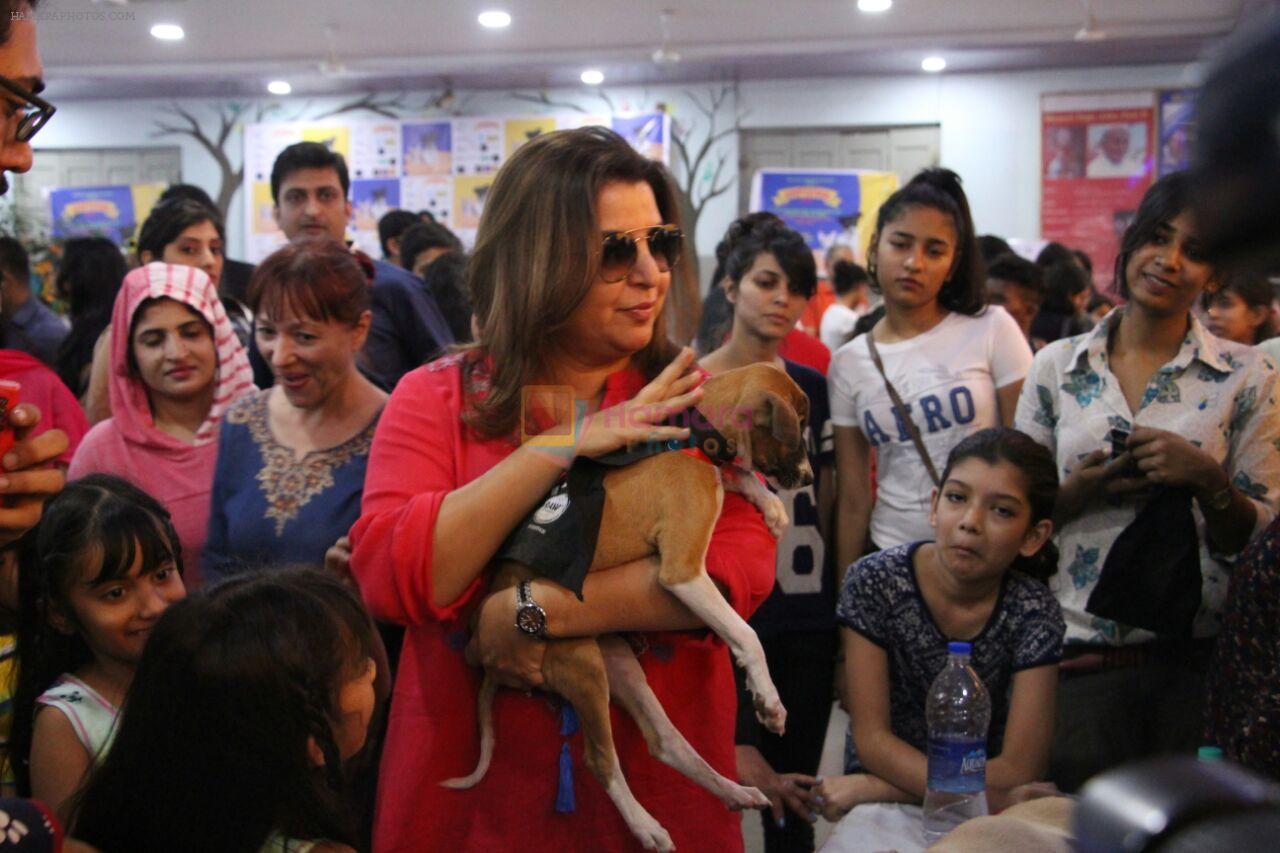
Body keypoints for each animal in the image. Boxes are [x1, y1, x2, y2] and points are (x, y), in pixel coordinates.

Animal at [445, 361, 814, 845]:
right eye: (800, 427)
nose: (808, 479)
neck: (696, 436)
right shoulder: (683, 572)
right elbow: (746, 633)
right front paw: (769, 701)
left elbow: (739, 474)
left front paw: (769, 506)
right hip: (584, 666)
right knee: (600, 760)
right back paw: (647, 827)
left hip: (620, 667)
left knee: (665, 742)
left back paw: (732, 790)